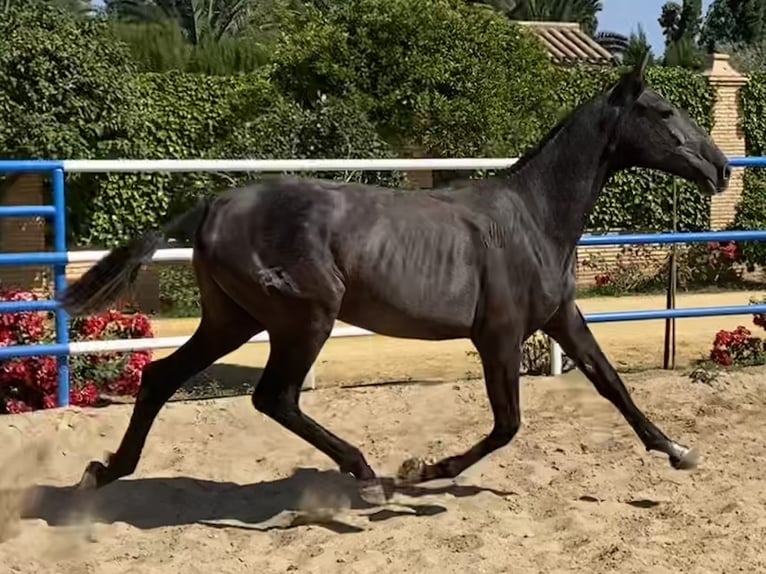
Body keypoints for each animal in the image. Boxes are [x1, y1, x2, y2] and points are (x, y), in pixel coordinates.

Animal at [58, 54, 732, 504]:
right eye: (664, 110)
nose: (721, 168)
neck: (534, 216)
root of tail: (213, 206)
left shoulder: (560, 318)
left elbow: (613, 384)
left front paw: (680, 452)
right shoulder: (499, 336)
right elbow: (507, 424)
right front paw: (420, 470)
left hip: (233, 318)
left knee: (160, 378)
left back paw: (104, 471)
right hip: (305, 318)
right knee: (273, 397)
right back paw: (366, 476)